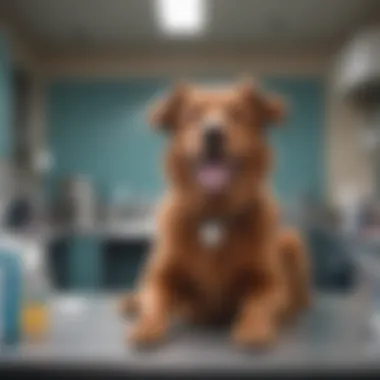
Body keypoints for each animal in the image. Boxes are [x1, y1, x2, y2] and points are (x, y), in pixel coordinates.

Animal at [120, 79, 310, 348]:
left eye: (237, 114)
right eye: (193, 116)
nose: (213, 133)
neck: (214, 215)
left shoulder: (271, 283)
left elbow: (257, 304)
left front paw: (253, 328)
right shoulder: (159, 276)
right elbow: (154, 301)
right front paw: (146, 327)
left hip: (292, 241)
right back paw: (129, 302)